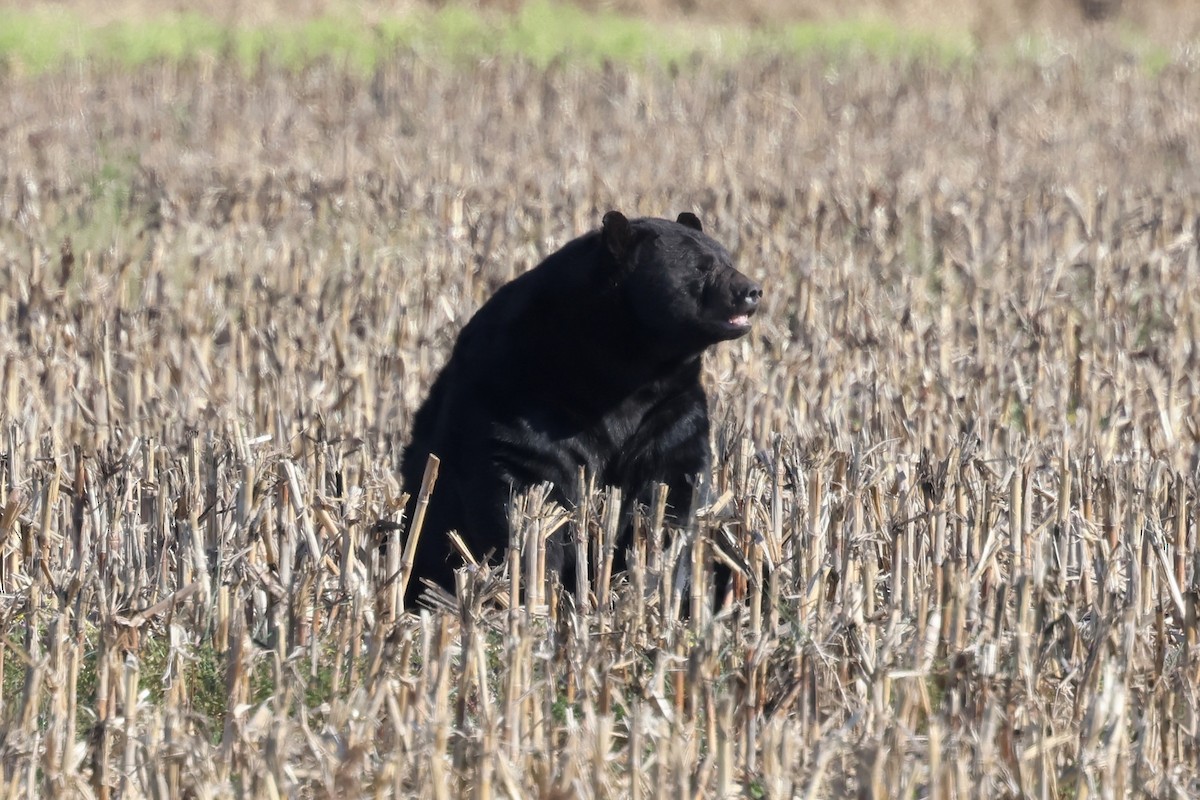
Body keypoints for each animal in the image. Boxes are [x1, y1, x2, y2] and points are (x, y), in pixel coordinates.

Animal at [398, 210, 761, 607]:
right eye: (700, 267)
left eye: (728, 259)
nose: (751, 290)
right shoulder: (518, 397)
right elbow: (521, 496)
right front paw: (536, 590)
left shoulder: (670, 409)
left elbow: (673, 490)